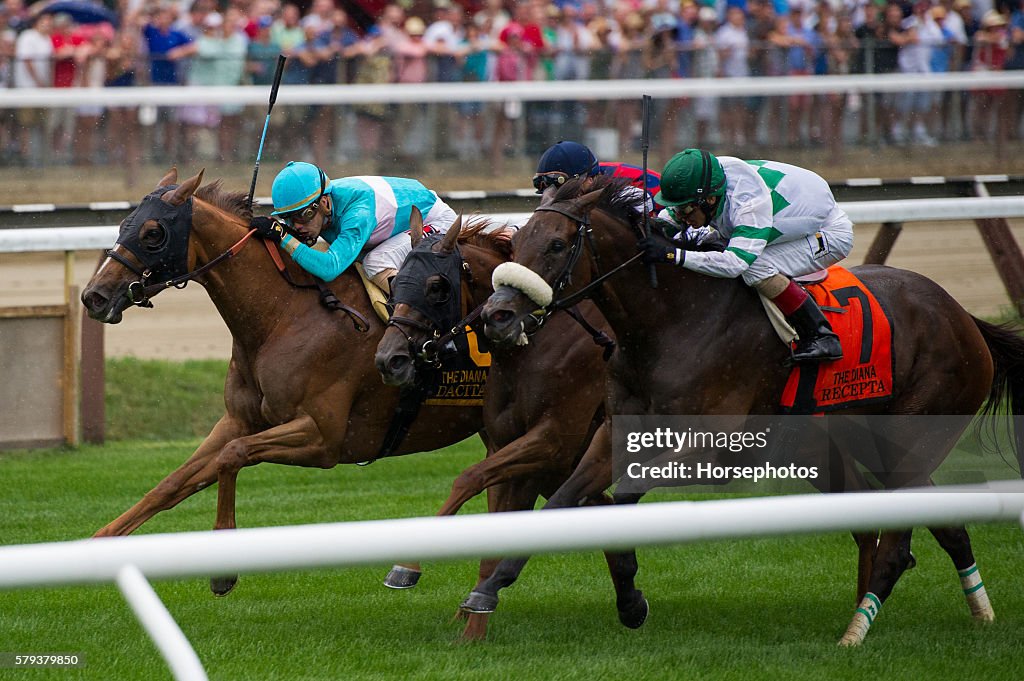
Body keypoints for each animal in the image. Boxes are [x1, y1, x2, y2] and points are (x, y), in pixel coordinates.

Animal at [80, 166, 483, 593]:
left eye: (153, 233)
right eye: (123, 225)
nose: (94, 296)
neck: (285, 315)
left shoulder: (323, 437)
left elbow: (232, 455)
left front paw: (223, 568)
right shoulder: (239, 420)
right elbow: (173, 483)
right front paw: (97, 544)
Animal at [374, 216, 614, 639]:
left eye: (437, 286)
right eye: (395, 281)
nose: (390, 360)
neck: (535, 338)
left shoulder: (552, 439)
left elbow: (468, 478)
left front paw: (407, 567)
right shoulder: (509, 444)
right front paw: (474, 620)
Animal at [471, 175, 1024, 643]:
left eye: (557, 244)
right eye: (515, 243)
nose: (497, 317)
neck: (669, 320)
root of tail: (964, 317)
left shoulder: (713, 450)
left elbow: (620, 497)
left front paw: (629, 598)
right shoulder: (615, 433)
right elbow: (567, 499)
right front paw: (490, 588)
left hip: (914, 436)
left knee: (898, 543)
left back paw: (855, 633)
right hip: (864, 440)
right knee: (934, 524)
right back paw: (976, 613)